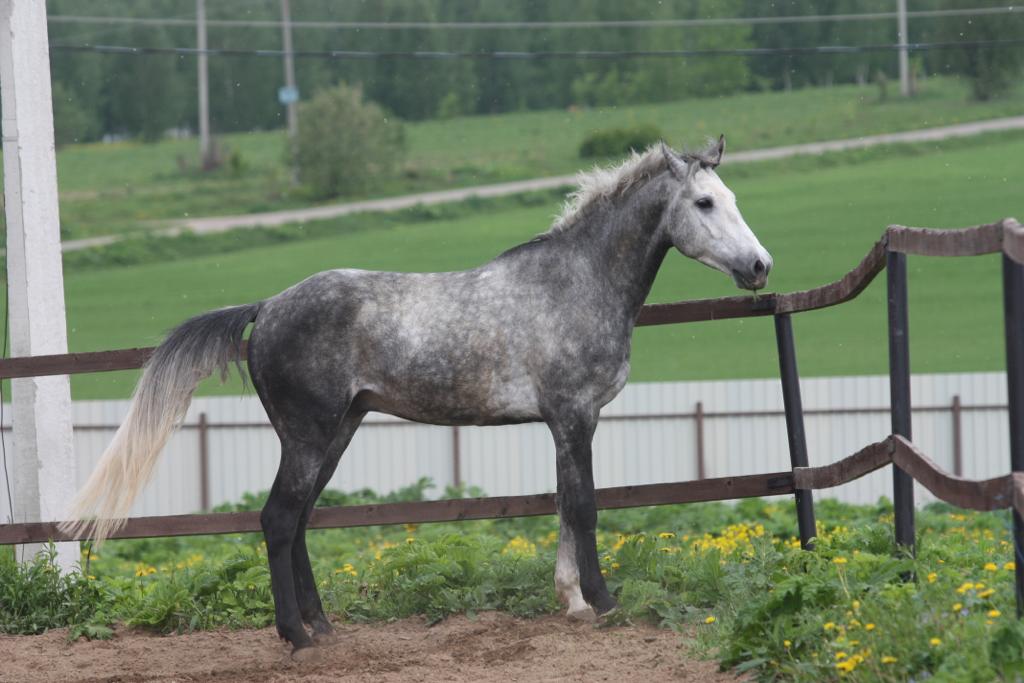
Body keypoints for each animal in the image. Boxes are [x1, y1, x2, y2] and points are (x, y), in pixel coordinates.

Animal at [62, 137, 771, 656]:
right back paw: (296, 638)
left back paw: (322, 628)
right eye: (704, 203)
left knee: (299, 521)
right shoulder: (574, 416)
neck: (573, 285)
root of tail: (266, 308)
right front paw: (604, 603)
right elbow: (587, 507)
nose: (760, 267)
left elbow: (564, 506)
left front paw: (572, 601)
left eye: (733, 197)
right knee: (278, 519)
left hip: (338, 432)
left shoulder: (565, 423)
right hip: (309, 435)